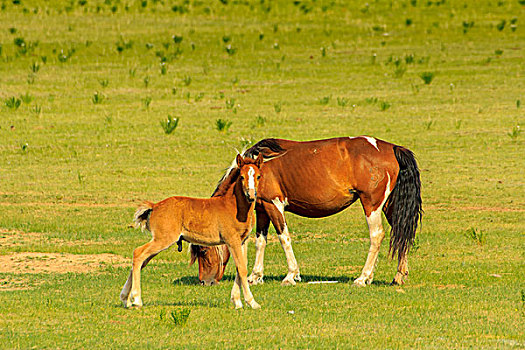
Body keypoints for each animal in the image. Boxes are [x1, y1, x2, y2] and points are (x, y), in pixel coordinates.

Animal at [190, 137, 420, 288]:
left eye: (203, 252)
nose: (204, 281)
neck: (260, 169)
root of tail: (391, 148)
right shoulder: (263, 208)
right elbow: (260, 242)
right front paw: (255, 276)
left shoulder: (274, 205)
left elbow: (284, 238)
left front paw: (291, 275)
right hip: (389, 205)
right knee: (401, 233)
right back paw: (398, 275)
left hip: (371, 204)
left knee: (377, 235)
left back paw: (363, 277)